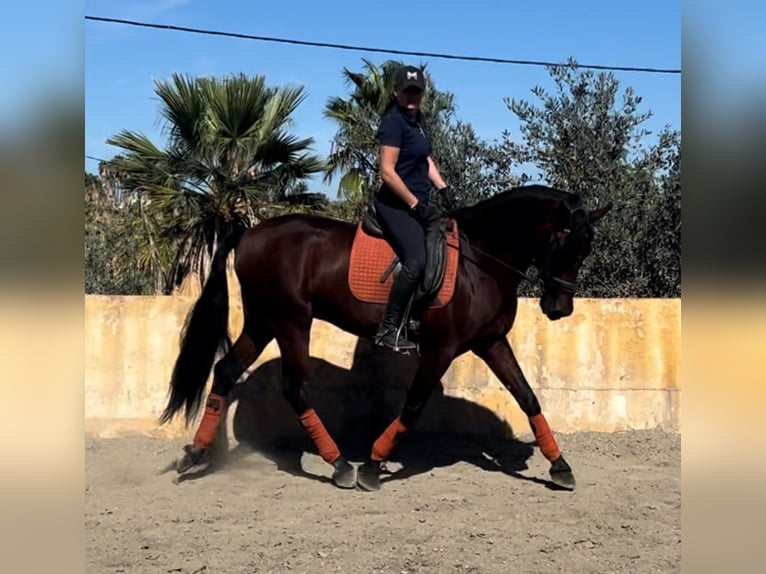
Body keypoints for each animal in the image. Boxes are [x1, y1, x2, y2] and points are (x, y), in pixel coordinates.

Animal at [158, 183, 612, 490]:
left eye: (586, 250)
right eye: (565, 244)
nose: (559, 308)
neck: (479, 261)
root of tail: (250, 233)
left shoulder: (491, 343)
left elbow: (528, 397)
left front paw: (560, 466)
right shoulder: (441, 348)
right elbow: (412, 405)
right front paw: (374, 466)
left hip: (264, 321)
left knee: (226, 370)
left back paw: (195, 453)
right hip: (291, 321)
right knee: (293, 387)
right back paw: (339, 464)